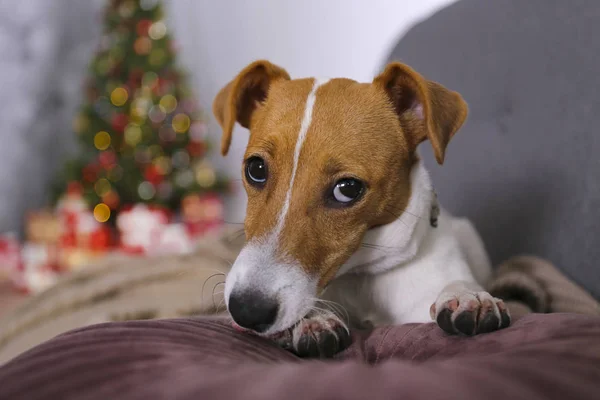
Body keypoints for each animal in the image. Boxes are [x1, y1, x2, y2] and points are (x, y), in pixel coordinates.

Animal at [213, 60, 508, 356]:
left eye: (347, 189)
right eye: (256, 169)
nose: (246, 310)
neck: (362, 277)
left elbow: (458, 283)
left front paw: (466, 294)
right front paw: (313, 318)